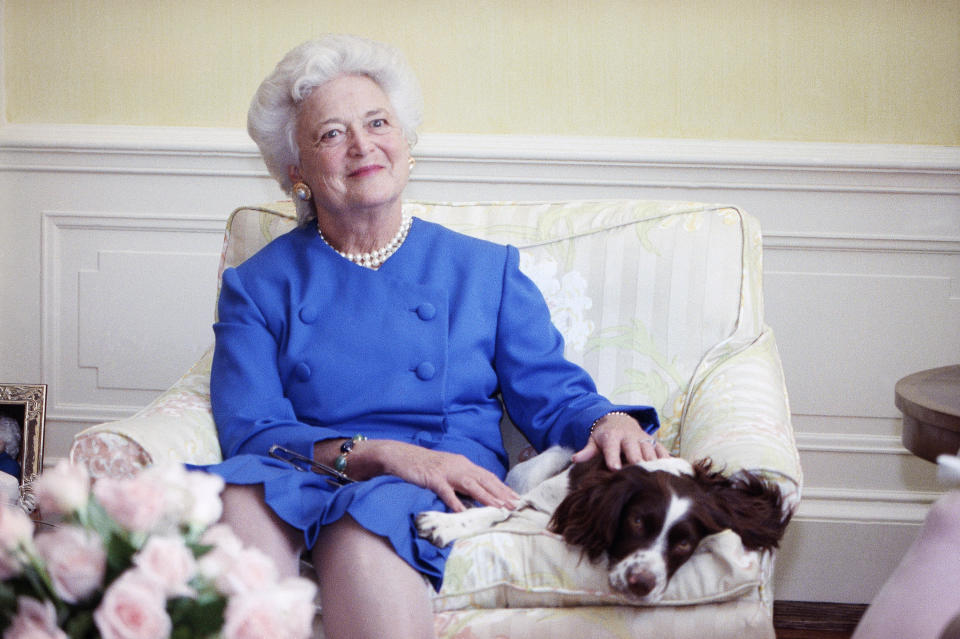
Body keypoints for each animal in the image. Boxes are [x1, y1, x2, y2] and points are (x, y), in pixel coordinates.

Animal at [416, 448, 792, 604]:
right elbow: (500, 508)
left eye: (685, 544)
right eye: (637, 521)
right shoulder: (540, 500)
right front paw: (444, 523)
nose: (641, 583)